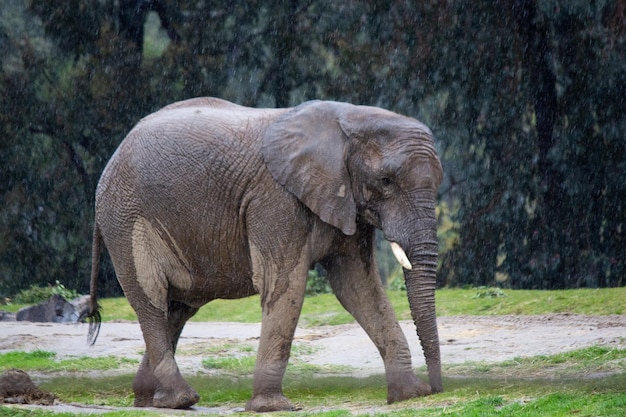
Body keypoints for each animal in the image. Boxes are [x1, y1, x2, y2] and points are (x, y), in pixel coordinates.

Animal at [86, 96, 444, 412]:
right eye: (385, 181)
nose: (438, 389)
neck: (348, 118)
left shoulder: (346, 204)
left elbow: (360, 288)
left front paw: (408, 395)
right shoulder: (275, 199)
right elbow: (286, 284)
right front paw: (273, 407)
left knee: (178, 308)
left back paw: (151, 401)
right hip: (126, 218)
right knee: (151, 300)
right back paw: (180, 399)